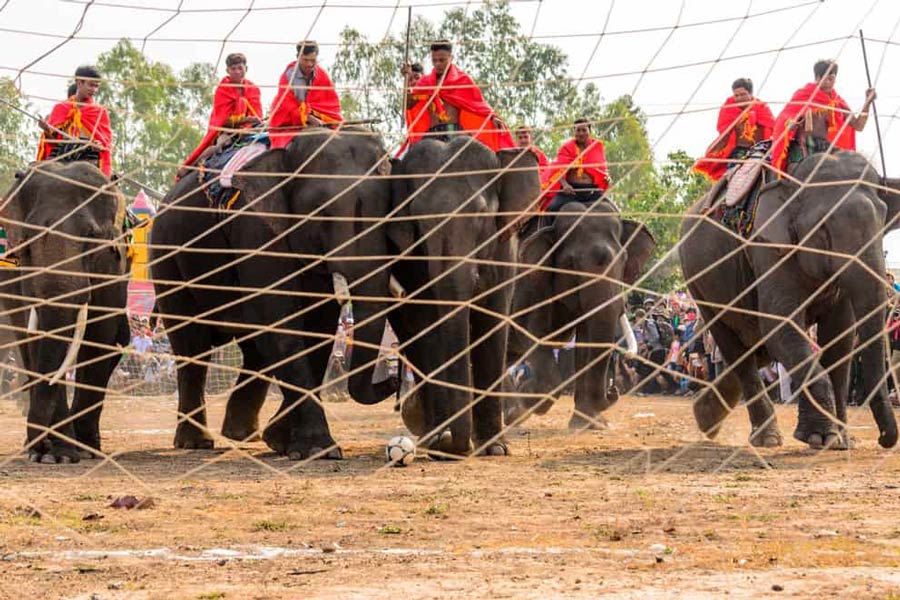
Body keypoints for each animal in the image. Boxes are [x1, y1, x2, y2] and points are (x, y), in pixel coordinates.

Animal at [0, 163, 130, 464]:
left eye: (92, 237)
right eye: (26, 241)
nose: (40, 446)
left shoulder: (113, 265)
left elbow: (100, 335)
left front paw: (83, 449)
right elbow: (36, 336)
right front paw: (59, 456)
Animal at [149, 129, 396, 460]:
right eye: (322, 213)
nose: (393, 379)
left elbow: (319, 324)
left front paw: (281, 441)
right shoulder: (256, 227)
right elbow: (281, 322)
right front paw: (319, 449)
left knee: (254, 349)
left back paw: (243, 434)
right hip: (166, 258)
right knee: (193, 344)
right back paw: (195, 442)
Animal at [388, 137, 540, 454]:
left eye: (481, 216)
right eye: (418, 219)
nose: (451, 443)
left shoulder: (504, 249)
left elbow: (492, 322)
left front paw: (495, 449)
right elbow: (428, 325)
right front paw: (441, 441)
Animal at [500, 202, 652, 432]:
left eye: (624, 260)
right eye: (571, 264)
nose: (613, 391)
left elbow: (586, 339)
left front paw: (590, 423)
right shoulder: (527, 281)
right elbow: (532, 332)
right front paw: (528, 395)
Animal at [684, 151, 900, 450]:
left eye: (883, 225)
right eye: (823, 230)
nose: (883, 439)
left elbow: (841, 336)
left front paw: (840, 442)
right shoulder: (768, 247)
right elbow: (781, 325)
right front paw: (820, 437)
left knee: (756, 349)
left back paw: (705, 416)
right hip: (699, 284)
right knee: (739, 351)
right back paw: (765, 438)